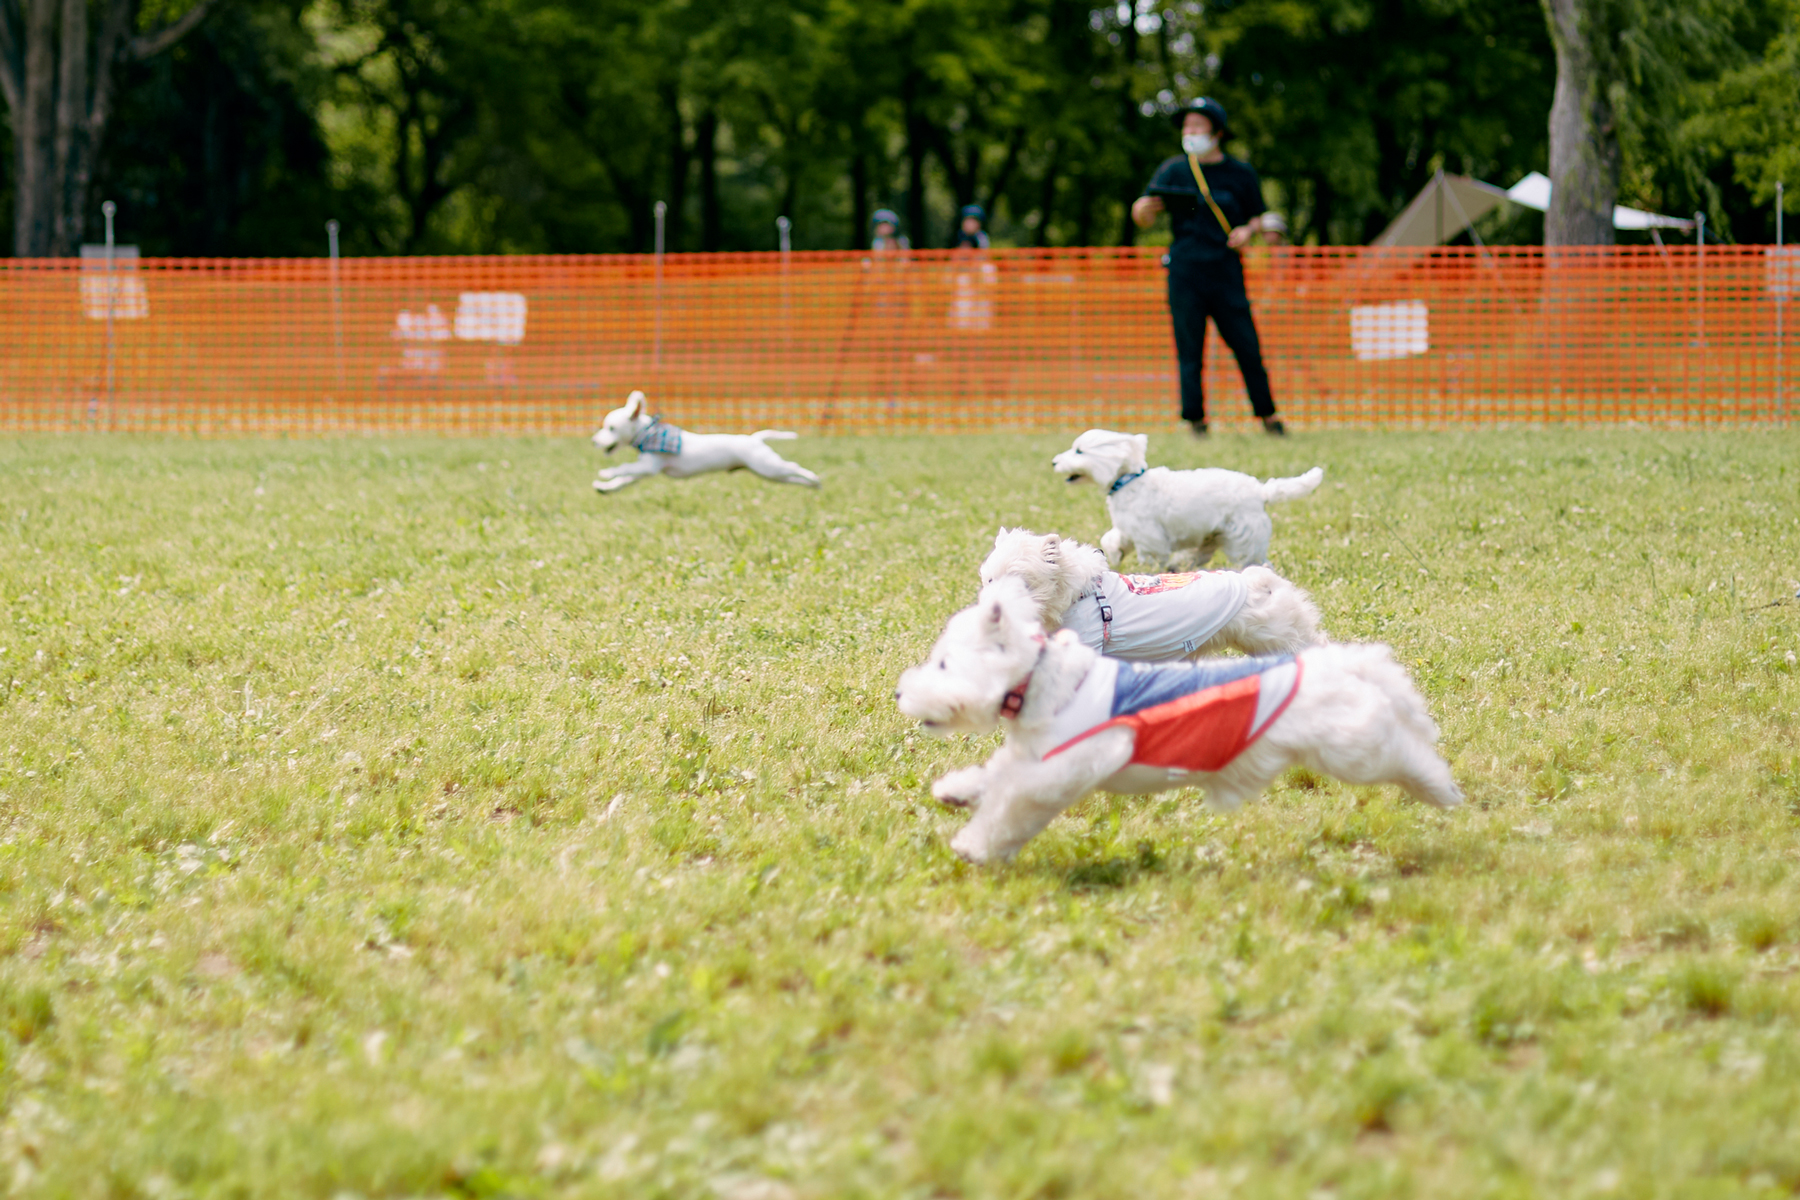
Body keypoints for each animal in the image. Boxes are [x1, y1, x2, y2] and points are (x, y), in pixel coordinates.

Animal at [590, 390, 824, 492]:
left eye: (611, 428)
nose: (594, 441)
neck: (648, 433)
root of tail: (754, 438)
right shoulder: (645, 469)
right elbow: (625, 479)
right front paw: (606, 487)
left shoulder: (649, 465)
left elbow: (624, 468)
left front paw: (606, 473)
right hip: (768, 473)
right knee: (791, 478)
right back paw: (813, 486)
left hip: (766, 466)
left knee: (793, 466)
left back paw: (814, 478)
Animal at [892, 579, 1454, 863]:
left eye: (943, 664)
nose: (900, 691)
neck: (1044, 685)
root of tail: (1333, 663)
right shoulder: (1034, 754)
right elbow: (993, 777)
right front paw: (955, 792)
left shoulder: (1063, 769)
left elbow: (1011, 804)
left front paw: (975, 845)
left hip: (1353, 747)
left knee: (1406, 752)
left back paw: (1442, 789)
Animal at [1051, 426, 1332, 568]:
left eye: (1079, 451)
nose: (1054, 461)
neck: (1129, 481)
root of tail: (1261, 490)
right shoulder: (1131, 529)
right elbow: (1110, 539)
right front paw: (1115, 555)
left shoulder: (1149, 535)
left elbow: (1150, 558)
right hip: (1215, 535)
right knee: (1200, 555)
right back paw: (1180, 564)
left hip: (1243, 540)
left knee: (1254, 562)